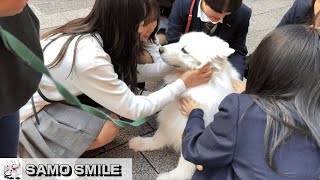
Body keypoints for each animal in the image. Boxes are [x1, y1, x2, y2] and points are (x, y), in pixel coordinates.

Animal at [129, 31, 241, 179]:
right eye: (179, 41)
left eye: (184, 50)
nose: (160, 49)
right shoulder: (171, 119)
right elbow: (158, 137)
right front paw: (141, 143)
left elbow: (185, 163)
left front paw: (171, 177)